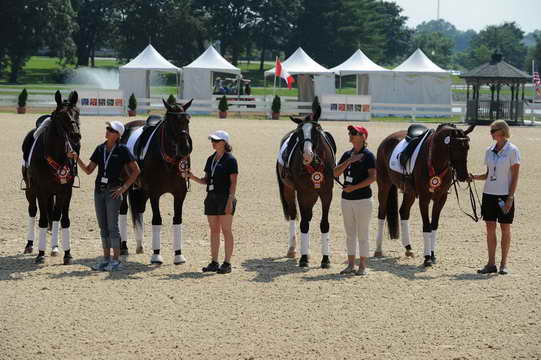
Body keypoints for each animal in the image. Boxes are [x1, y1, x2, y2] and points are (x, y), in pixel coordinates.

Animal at [26, 90, 81, 264]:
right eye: (62, 115)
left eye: (77, 112)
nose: (75, 135)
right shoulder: (41, 191)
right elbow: (43, 220)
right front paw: (40, 254)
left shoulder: (66, 191)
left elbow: (63, 219)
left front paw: (67, 253)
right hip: (30, 191)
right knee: (32, 211)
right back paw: (29, 245)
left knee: (55, 216)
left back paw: (55, 247)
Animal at [121, 98, 193, 264]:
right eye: (171, 122)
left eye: (187, 120)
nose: (185, 148)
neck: (167, 160)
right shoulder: (155, 194)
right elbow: (157, 219)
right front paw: (156, 255)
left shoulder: (180, 194)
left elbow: (177, 219)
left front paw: (178, 255)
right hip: (124, 187)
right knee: (123, 210)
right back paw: (124, 247)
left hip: (141, 190)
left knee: (139, 210)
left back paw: (140, 245)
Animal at [276, 105, 336, 268]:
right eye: (299, 133)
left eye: (316, 130)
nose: (307, 154)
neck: (315, 164)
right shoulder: (302, 193)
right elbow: (303, 224)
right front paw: (303, 258)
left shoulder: (326, 193)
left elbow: (324, 224)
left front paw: (326, 259)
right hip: (289, 191)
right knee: (293, 215)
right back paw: (293, 249)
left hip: (313, 195)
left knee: (308, 216)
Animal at [376, 124, 472, 268]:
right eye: (455, 147)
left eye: (467, 147)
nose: (463, 175)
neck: (434, 159)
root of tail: (386, 140)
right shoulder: (424, 198)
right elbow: (427, 226)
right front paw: (427, 258)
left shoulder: (441, 199)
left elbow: (434, 226)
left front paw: (432, 255)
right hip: (384, 185)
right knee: (382, 213)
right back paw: (378, 250)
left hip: (409, 192)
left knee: (403, 212)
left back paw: (408, 248)